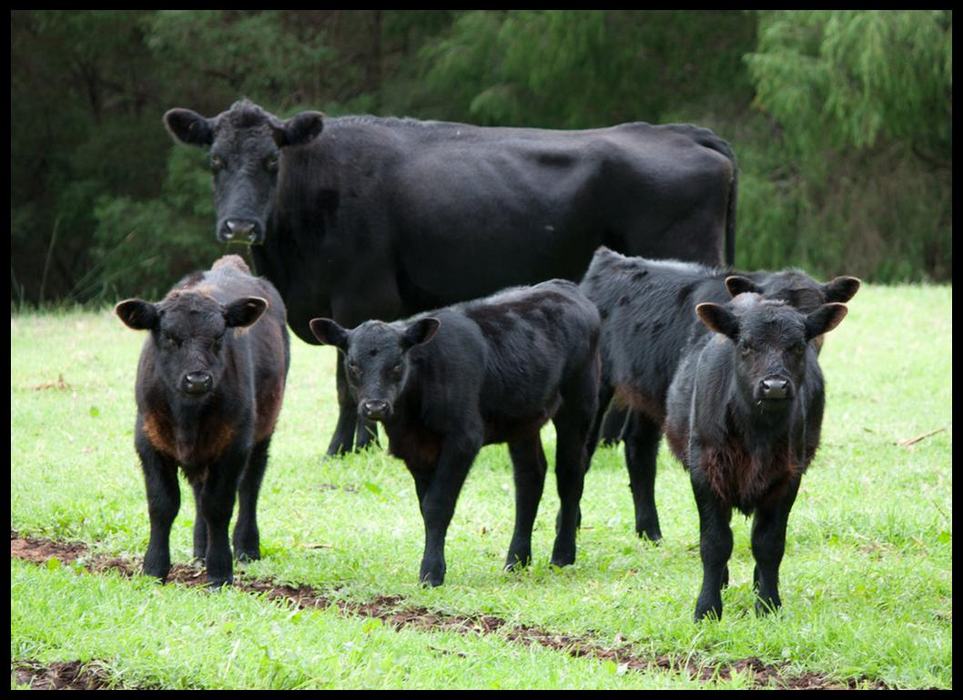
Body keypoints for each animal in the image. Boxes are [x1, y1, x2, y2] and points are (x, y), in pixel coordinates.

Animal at [115, 254, 290, 587]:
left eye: (219, 336)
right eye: (169, 337)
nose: (197, 379)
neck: (188, 416)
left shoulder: (234, 445)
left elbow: (219, 505)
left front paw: (220, 571)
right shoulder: (148, 439)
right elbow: (163, 504)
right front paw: (154, 567)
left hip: (263, 429)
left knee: (250, 485)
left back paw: (246, 546)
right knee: (199, 492)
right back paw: (200, 548)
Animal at [163, 99, 737, 457]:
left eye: (270, 161)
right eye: (216, 161)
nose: (240, 225)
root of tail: (681, 131)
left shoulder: (360, 296)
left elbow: (346, 382)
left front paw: (350, 447)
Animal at [308, 279, 600, 586]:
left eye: (397, 364)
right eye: (352, 365)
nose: (375, 406)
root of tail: (561, 286)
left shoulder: (463, 440)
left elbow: (438, 505)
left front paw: (431, 572)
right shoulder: (415, 450)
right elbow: (425, 506)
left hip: (578, 404)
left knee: (569, 475)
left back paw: (562, 555)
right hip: (523, 420)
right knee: (530, 479)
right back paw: (517, 559)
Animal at [663, 293, 848, 620]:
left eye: (797, 346)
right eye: (747, 345)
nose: (774, 386)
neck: (756, 432)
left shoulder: (787, 477)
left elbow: (769, 544)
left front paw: (769, 603)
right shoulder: (704, 472)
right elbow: (715, 542)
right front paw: (707, 608)